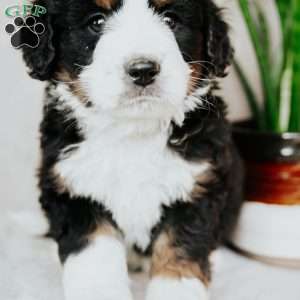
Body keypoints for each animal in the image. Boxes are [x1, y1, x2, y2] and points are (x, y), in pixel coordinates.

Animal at [22, 0, 245, 300]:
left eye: (170, 19)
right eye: (97, 21)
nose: (143, 69)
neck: (133, 130)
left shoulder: (197, 184)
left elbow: (180, 247)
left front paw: (175, 289)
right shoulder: (75, 186)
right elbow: (94, 253)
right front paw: (99, 291)